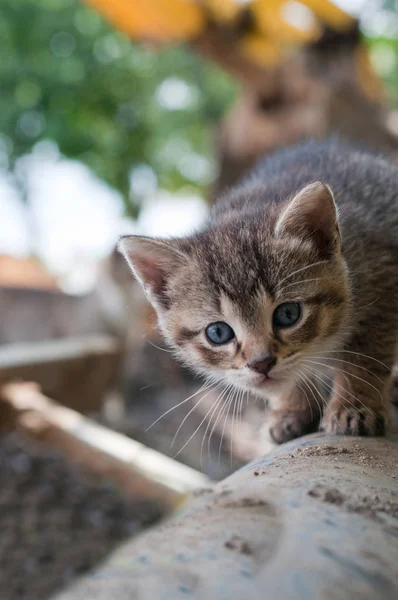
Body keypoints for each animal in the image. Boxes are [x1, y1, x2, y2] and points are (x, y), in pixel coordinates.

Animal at [120, 139, 398, 440]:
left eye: (288, 314)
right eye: (218, 333)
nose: (261, 363)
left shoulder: (383, 278)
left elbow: (366, 358)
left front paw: (354, 406)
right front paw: (291, 408)